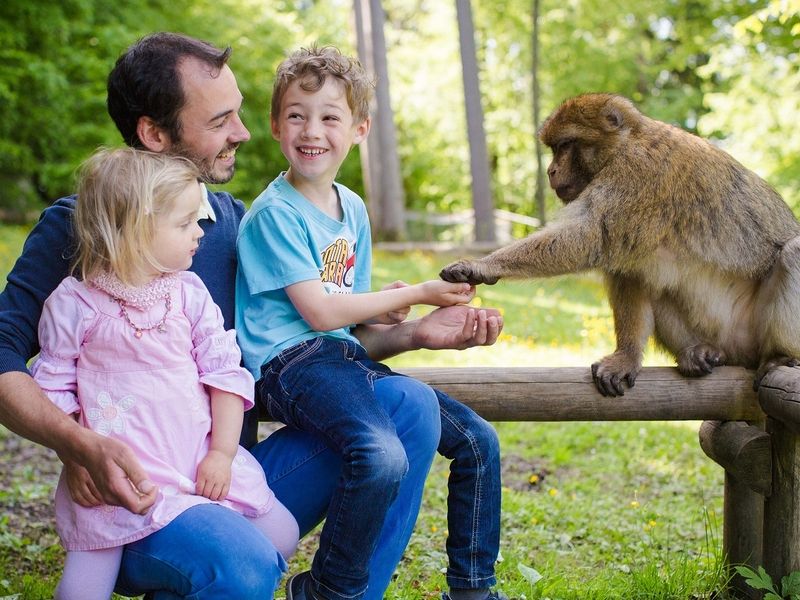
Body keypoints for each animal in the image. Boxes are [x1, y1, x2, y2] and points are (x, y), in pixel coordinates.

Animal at [440, 93, 800, 397]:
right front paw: (625, 357)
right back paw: (695, 352)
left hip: (754, 334)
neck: (627, 142)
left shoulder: (637, 175)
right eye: (555, 149)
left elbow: (590, 235)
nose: (551, 170)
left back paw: (781, 356)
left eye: (566, 145)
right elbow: (629, 270)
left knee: (793, 253)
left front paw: (483, 264)